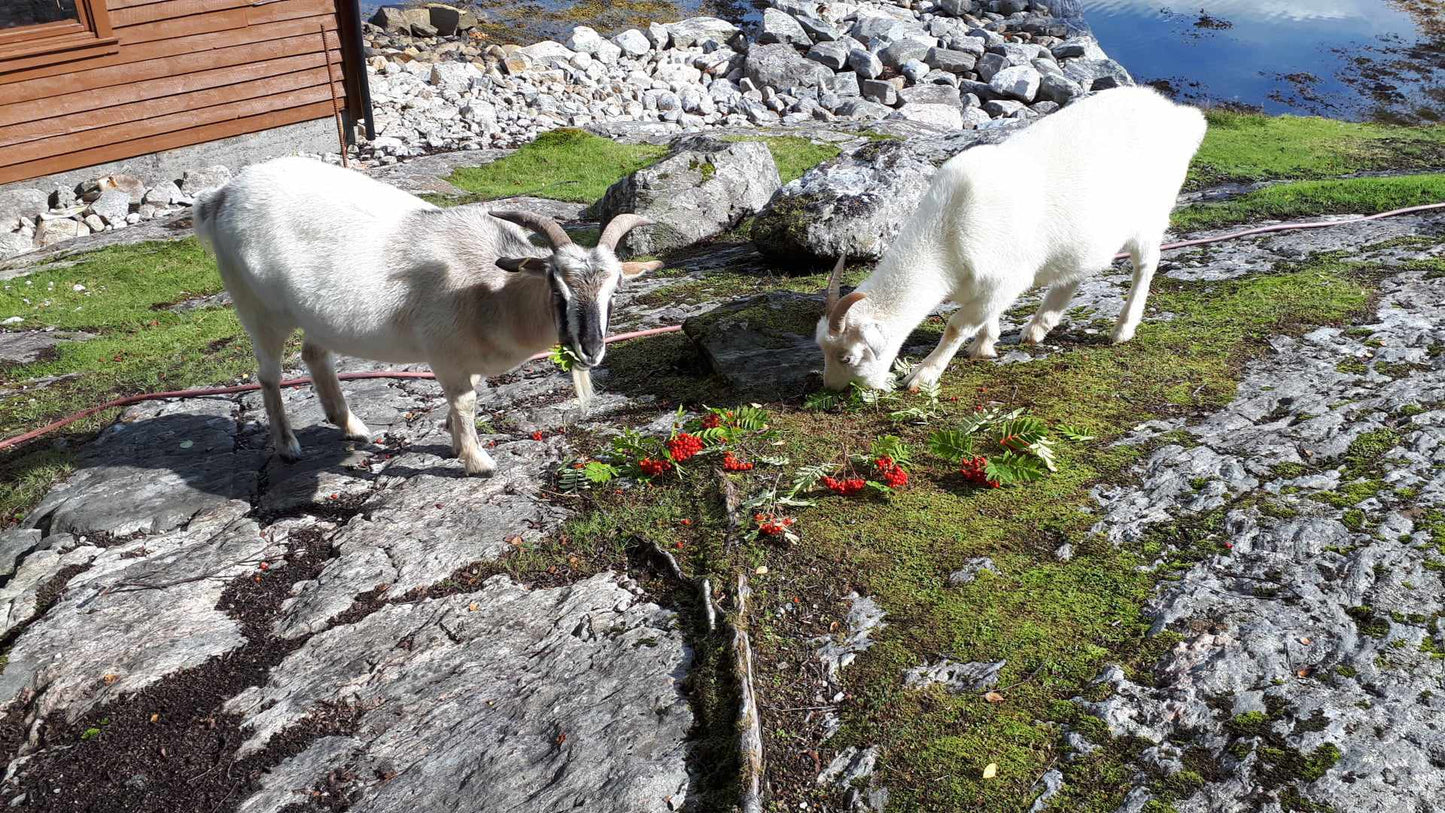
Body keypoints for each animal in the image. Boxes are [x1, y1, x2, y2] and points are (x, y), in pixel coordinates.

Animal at [192, 155, 661, 476]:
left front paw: (454, 443)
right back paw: (288, 445)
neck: (489, 291)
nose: (591, 349)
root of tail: (220, 196)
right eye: (555, 285)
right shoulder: (445, 351)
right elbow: (466, 400)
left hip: (313, 314)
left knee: (314, 355)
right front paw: (477, 460)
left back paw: (350, 425)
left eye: (614, 290)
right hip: (256, 307)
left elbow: (464, 397)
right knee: (268, 374)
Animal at [814, 87, 1208, 392]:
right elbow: (984, 317)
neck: (945, 233)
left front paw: (924, 375)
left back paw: (1123, 327)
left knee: (1146, 263)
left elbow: (956, 325)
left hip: (1150, 217)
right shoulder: (984, 285)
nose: (831, 388)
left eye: (847, 356)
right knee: (1075, 270)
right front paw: (986, 343)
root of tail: (1182, 119)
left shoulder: (1008, 279)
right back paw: (1039, 325)